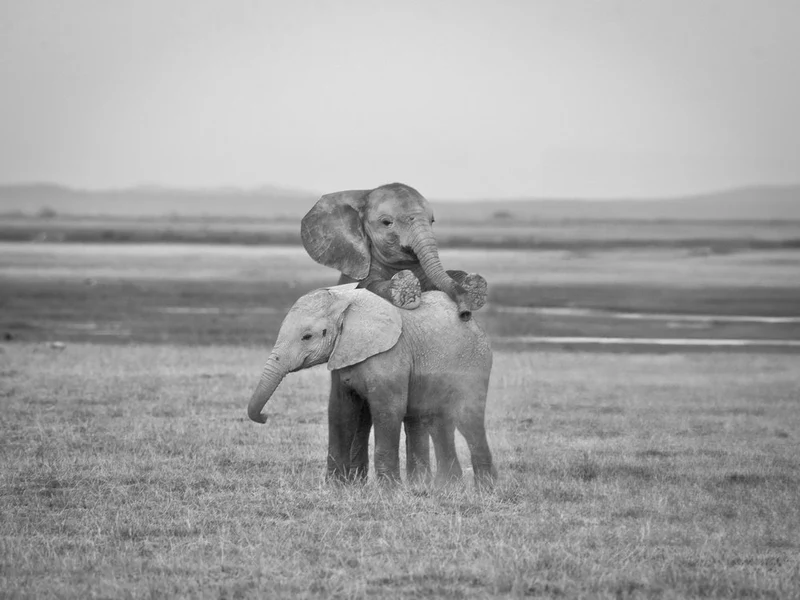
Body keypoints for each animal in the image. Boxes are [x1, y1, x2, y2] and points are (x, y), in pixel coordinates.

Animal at [247, 285, 497, 488]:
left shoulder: (391, 357)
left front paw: (389, 491)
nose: (265, 416)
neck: (346, 303)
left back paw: (485, 488)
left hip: (474, 363)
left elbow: (388, 412)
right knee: (437, 422)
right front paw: (335, 488)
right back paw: (448, 487)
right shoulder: (343, 355)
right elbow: (340, 412)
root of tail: (474, 323)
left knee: (468, 420)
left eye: (307, 336)